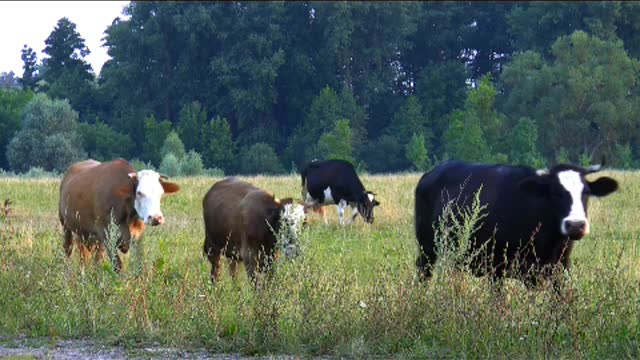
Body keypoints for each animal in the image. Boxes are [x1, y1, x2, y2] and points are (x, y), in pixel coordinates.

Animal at [416, 160, 620, 286]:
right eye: (555, 192)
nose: (576, 225)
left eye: (586, 192)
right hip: (427, 250)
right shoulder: (497, 267)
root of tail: (431, 173)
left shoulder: (559, 266)